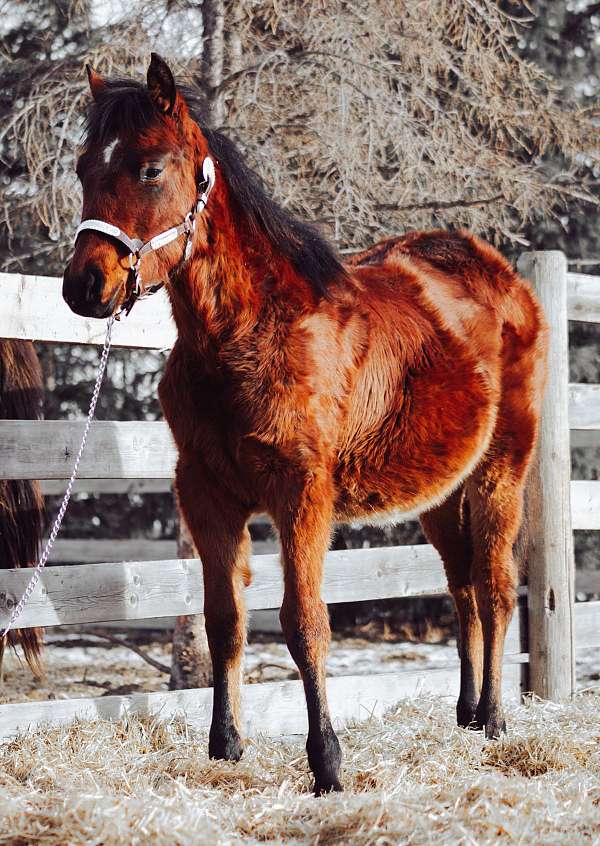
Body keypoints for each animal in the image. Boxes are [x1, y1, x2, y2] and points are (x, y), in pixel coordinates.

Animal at [63, 53, 548, 796]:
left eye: (149, 169)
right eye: (84, 167)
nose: (84, 287)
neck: (250, 334)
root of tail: (501, 275)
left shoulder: (302, 493)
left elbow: (304, 623)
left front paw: (327, 764)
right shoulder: (206, 493)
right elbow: (225, 620)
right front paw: (225, 746)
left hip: (502, 470)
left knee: (494, 587)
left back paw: (494, 720)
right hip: (441, 492)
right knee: (463, 585)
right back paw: (466, 715)